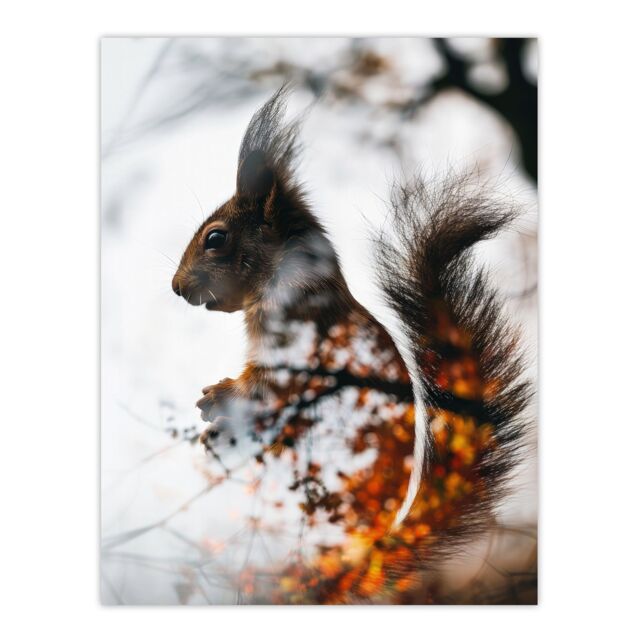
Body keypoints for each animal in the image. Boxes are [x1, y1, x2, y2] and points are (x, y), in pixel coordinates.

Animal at [171, 87, 532, 604]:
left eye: (215, 238)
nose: (177, 288)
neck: (284, 274)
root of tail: (368, 549)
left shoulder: (301, 335)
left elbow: (269, 385)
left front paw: (218, 397)